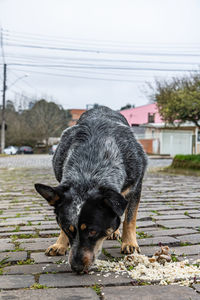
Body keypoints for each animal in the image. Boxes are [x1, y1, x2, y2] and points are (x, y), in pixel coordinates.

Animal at [34, 105, 147, 272]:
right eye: (68, 229)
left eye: (93, 231)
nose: (76, 267)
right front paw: (60, 244)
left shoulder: (136, 186)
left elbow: (129, 219)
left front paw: (130, 243)